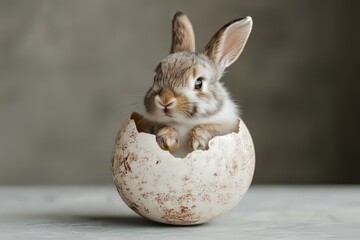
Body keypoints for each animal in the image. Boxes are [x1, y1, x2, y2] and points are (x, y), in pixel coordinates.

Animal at [142, 12, 252, 158]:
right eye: (155, 77)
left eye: (199, 83)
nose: (165, 100)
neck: (182, 123)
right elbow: (159, 127)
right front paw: (168, 139)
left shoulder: (228, 126)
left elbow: (210, 128)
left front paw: (196, 141)